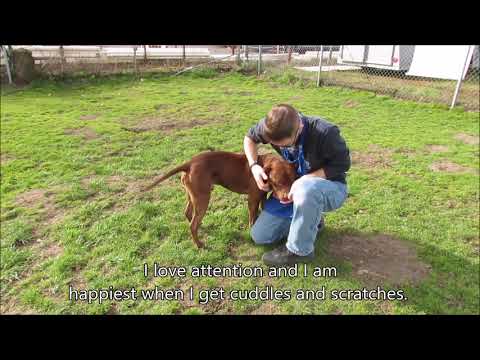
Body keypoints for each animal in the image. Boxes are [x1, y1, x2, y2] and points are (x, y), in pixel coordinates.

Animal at [144, 150, 298, 249]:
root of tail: (190, 163)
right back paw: (199, 245)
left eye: (293, 180)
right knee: (193, 224)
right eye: (277, 183)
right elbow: (252, 218)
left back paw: (200, 230)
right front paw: (251, 230)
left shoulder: (262, 197)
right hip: (203, 199)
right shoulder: (252, 199)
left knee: (188, 214)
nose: (287, 198)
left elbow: (260, 212)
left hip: (193, 196)